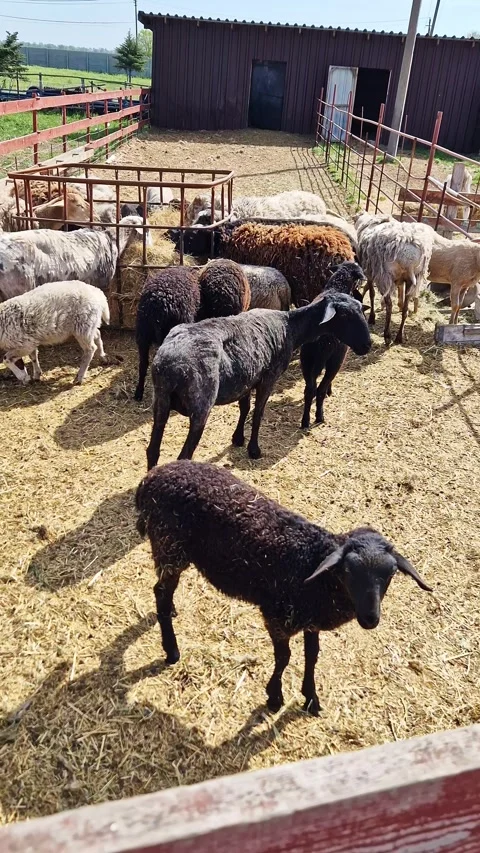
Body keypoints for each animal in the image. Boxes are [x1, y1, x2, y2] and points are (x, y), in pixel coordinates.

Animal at [136, 460, 432, 714]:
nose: (370, 619)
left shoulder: (311, 621)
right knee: (160, 591)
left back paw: (172, 612)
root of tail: (151, 478)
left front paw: (311, 698)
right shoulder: (277, 618)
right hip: (169, 546)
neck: (313, 566)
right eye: (347, 571)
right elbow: (284, 658)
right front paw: (275, 697)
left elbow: (312, 656)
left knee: (164, 592)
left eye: (391, 573)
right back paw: (172, 650)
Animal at [146, 290, 371, 467]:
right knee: (183, 455)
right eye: (345, 315)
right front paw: (254, 450)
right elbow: (257, 414)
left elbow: (244, 408)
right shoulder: (268, 378)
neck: (291, 327)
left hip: (161, 401)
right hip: (200, 404)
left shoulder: (247, 378)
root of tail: (170, 363)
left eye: (361, 310)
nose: (367, 345)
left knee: (152, 451)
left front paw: (238, 438)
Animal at [300, 261, 367, 430]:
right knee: (320, 390)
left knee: (309, 390)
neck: (336, 287)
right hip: (336, 360)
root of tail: (324, 338)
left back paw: (305, 421)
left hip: (306, 358)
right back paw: (319, 416)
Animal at [354, 211, 434, 345]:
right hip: (413, 279)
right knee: (405, 309)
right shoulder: (398, 280)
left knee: (389, 305)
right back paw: (399, 337)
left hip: (385, 276)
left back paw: (387, 335)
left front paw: (372, 317)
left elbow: (371, 294)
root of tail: (409, 256)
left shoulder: (370, 272)